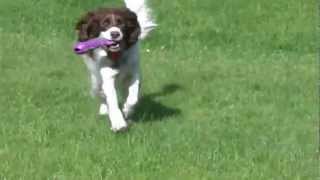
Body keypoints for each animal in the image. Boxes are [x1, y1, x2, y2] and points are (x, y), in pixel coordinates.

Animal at [74, 0, 156, 132]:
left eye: (121, 23)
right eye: (105, 23)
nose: (115, 34)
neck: (116, 56)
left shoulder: (133, 73)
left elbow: (133, 97)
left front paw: (127, 110)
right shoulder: (107, 76)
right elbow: (112, 99)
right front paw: (118, 123)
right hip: (95, 80)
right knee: (100, 93)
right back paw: (104, 109)